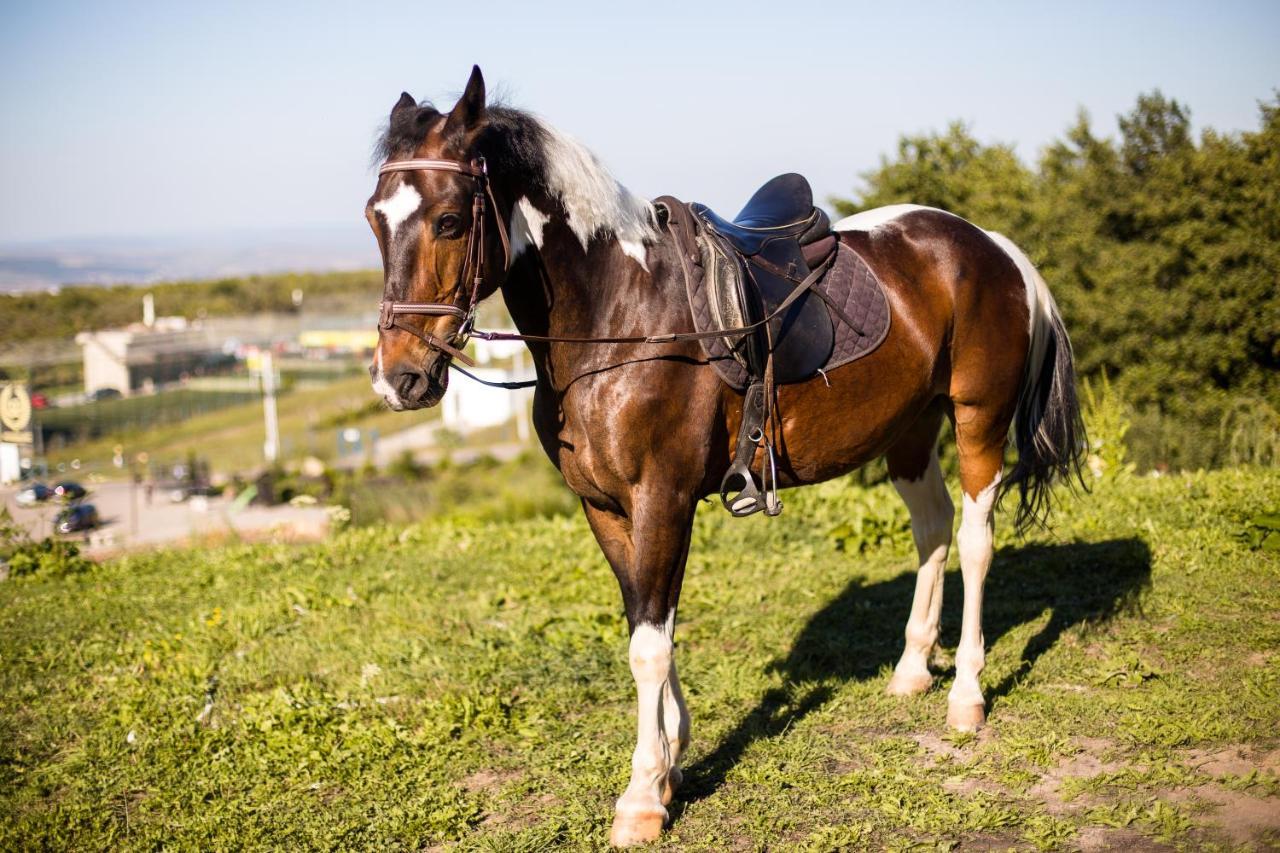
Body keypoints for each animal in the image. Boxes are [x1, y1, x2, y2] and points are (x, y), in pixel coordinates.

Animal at [366, 66, 1085, 845]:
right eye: (375, 219)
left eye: (449, 221)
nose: (398, 378)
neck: (621, 316)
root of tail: (991, 245)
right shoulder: (606, 507)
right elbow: (649, 621)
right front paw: (672, 760)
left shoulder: (663, 497)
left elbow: (649, 642)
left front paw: (643, 795)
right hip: (910, 433)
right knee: (932, 528)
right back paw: (912, 668)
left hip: (978, 421)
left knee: (978, 540)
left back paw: (966, 696)